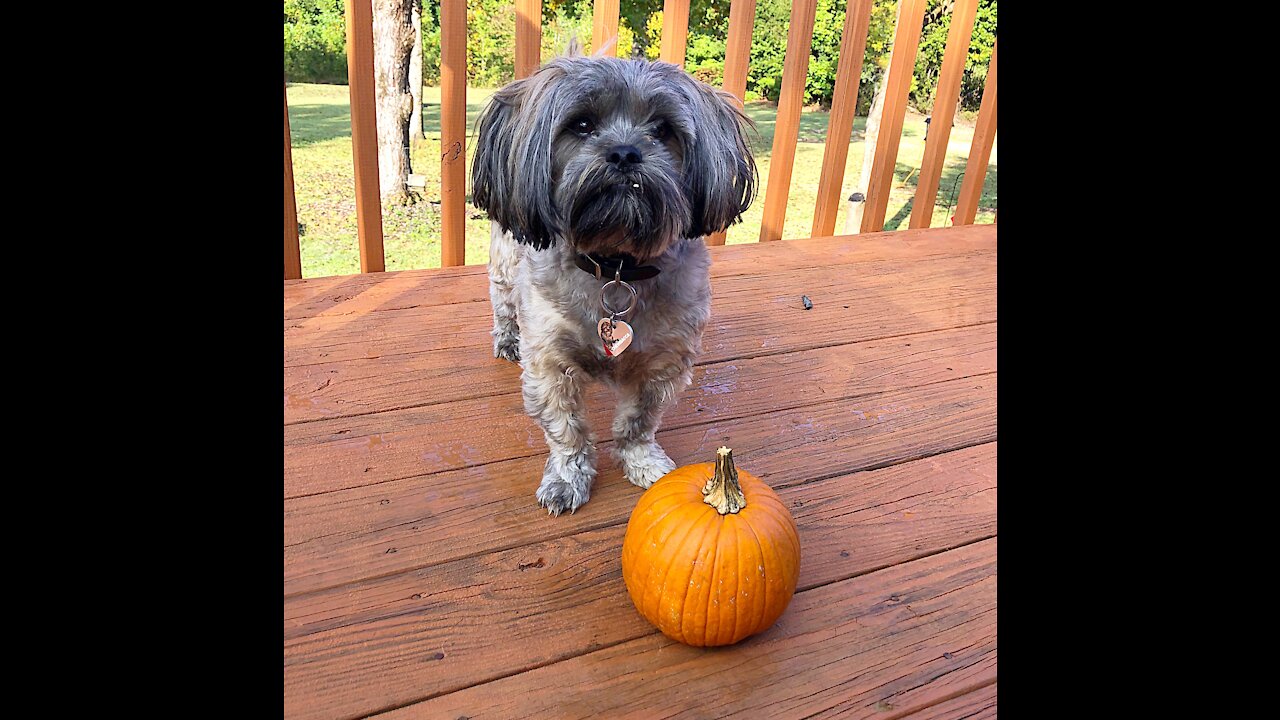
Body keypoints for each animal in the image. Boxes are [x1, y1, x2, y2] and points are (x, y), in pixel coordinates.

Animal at [471, 44, 752, 512]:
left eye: (662, 129)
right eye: (582, 124)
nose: (624, 152)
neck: (616, 264)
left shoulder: (663, 363)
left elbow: (639, 420)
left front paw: (642, 461)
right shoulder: (550, 362)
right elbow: (566, 428)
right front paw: (567, 477)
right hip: (506, 263)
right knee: (503, 302)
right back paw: (507, 339)